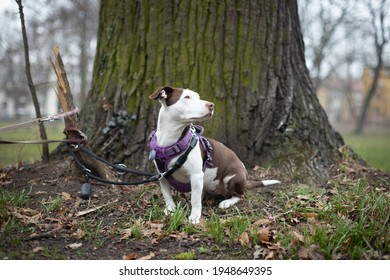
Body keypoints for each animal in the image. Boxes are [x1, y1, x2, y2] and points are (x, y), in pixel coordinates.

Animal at [149, 86, 280, 224]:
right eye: (187, 97)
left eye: (198, 96)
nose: (211, 105)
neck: (171, 141)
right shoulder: (162, 176)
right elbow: (167, 195)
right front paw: (170, 209)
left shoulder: (196, 175)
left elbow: (195, 201)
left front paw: (194, 216)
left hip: (232, 178)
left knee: (240, 195)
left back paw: (227, 202)